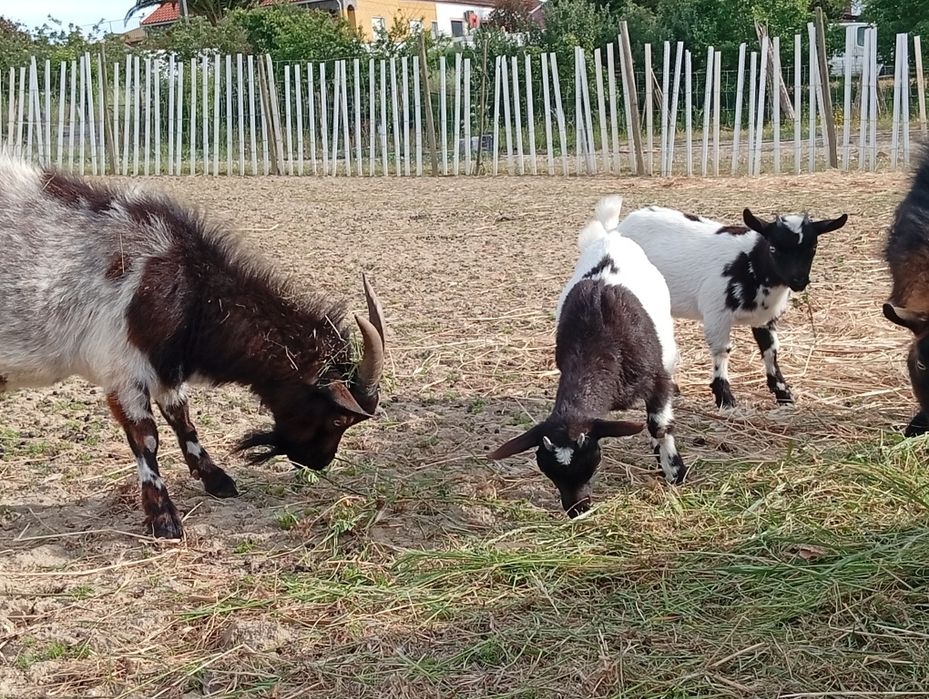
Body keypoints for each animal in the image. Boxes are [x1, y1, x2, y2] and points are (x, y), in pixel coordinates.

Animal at [0, 154, 386, 539]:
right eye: (339, 419)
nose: (318, 462)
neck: (189, 288)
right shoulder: (123, 368)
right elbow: (147, 438)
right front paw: (164, 517)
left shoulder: (165, 367)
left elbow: (182, 419)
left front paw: (216, 479)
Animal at [488, 196, 686, 518]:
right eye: (548, 471)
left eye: (591, 461)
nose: (577, 509)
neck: (598, 343)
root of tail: (610, 234)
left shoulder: (656, 378)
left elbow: (659, 425)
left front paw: (674, 472)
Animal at [617, 205, 848, 408]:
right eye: (773, 248)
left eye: (813, 248)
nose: (799, 281)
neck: (750, 262)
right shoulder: (717, 312)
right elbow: (722, 350)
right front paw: (725, 398)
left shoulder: (765, 318)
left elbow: (771, 350)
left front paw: (784, 394)